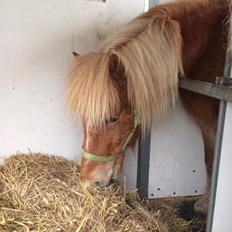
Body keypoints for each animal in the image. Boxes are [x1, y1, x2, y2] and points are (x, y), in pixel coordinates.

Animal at [67, 0, 230, 216]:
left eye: (112, 118)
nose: (87, 181)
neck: (207, 49)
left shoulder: (212, 122)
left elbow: (212, 160)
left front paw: (204, 205)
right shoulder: (207, 124)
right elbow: (209, 158)